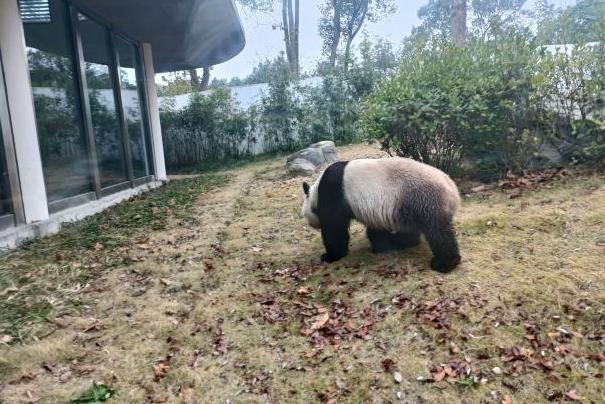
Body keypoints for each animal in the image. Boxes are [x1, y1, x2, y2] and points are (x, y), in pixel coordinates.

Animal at [300, 156, 460, 274]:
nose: (310, 225)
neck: (316, 191)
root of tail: (453, 190)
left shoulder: (334, 193)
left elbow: (334, 228)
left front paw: (329, 256)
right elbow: (376, 228)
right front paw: (379, 243)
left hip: (423, 198)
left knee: (438, 231)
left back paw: (444, 263)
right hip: (407, 206)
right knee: (412, 231)